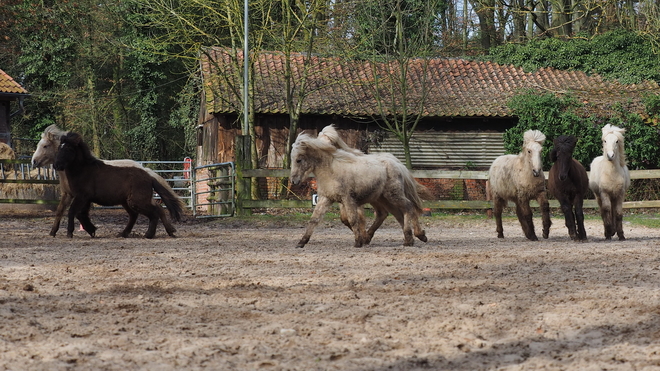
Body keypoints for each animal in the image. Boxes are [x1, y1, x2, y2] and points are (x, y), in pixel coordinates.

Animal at [31, 124, 177, 235]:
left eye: (45, 146)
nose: (34, 161)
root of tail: (146, 172)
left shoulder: (81, 196)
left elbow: (73, 212)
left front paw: (73, 231)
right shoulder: (70, 195)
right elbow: (64, 211)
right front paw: (53, 232)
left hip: (136, 200)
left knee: (155, 209)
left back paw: (159, 232)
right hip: (128, 201)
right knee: (146, 211)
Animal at [290, 129, 428, 248]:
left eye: (298, 160)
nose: (294, 180)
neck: (331, 171)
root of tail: (397, 163)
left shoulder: (348, 199)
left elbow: (353, 219)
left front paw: (358, 242)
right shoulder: (326, 198)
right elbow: (314, 219)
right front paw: (301, 242)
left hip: (393, 195)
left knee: (408, 207)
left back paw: (413, 238)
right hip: (383, 199)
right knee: (394, 214)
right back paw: (411, 238)